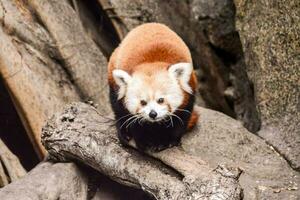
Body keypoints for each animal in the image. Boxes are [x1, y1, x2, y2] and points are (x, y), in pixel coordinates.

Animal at [108, 22, 199, 151]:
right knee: (118, 108)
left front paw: (167, 141)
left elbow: (180, 120)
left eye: (161, 100)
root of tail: (150, 24)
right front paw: (143, 140)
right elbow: (134, 122)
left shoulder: (189, 91)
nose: (153, 114)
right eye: (142, 102)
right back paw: (124, 132)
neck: (152, 62)